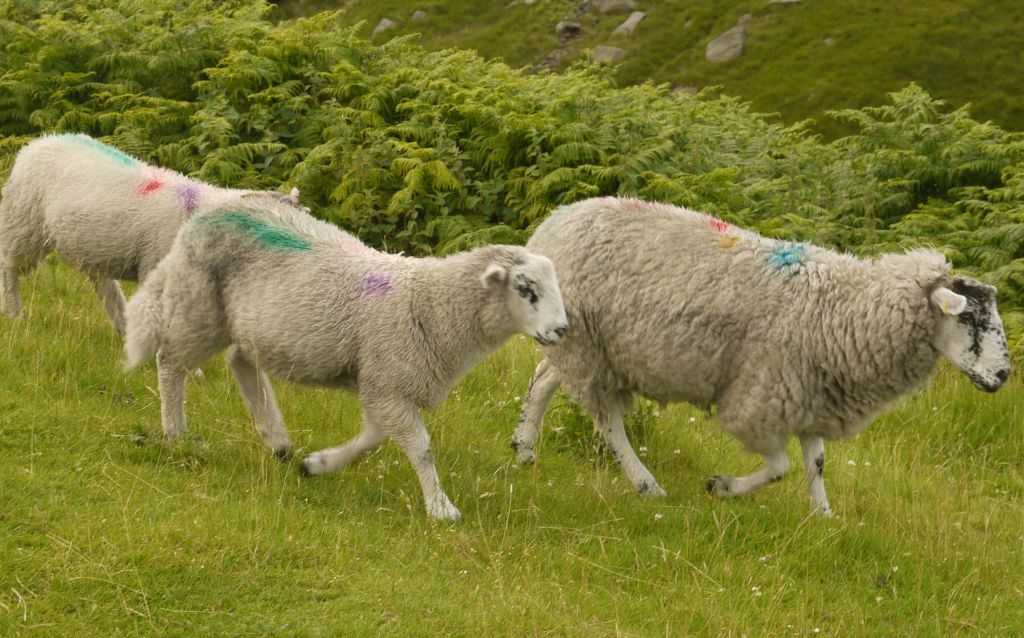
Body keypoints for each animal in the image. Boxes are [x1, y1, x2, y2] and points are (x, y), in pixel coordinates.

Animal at [0, 133, 303, 330]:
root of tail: (39, 142)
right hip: (24, 222)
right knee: (8, 265)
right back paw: (14, 314)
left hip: (91, 246)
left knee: (105, 287)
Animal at [122, 195, 569, 521]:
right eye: (526, 289)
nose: (562, 330)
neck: (429, 304)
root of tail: (210, 212)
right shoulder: (387, 385)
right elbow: (421, 448)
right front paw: (441, 509)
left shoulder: (380, 385)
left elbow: (371, 440)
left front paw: (317, 464)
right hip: (199, 305)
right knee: (170, 363)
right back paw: (176, 433)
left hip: (249, 324)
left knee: (241, 362)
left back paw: (276, 439)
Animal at [511, 196, 1011, 515]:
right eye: (973, 320)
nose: (1004, 375)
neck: (844, 308)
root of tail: (553, 223)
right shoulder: (760, 397)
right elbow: (781, 467)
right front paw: (721, 487)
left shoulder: (810, 394)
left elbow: (816, 462)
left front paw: (823, 517)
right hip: (587, 346)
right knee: (608, 422)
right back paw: (645, 483)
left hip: (585, 345)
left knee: (544, 377)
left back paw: (524, 448)